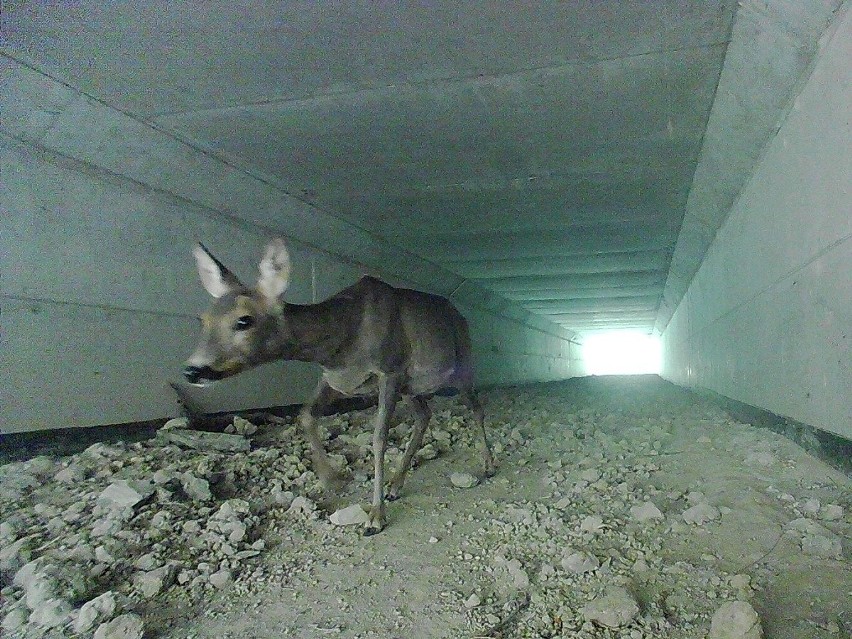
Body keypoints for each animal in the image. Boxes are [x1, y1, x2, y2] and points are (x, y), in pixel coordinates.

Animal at [183, 240, 496, 536]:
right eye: (203, 319)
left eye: (244, 320)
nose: (192, 370)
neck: (339, 343)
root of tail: (461, 317)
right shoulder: (337, 379)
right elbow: (305, 415)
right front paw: (331, 479)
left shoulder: (389, 369)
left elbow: (379, 438)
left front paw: (375, 517)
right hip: (412, 388)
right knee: (424, 416)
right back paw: (396, 484)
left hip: (461, 364)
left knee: (476, 409)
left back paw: (488, 465)